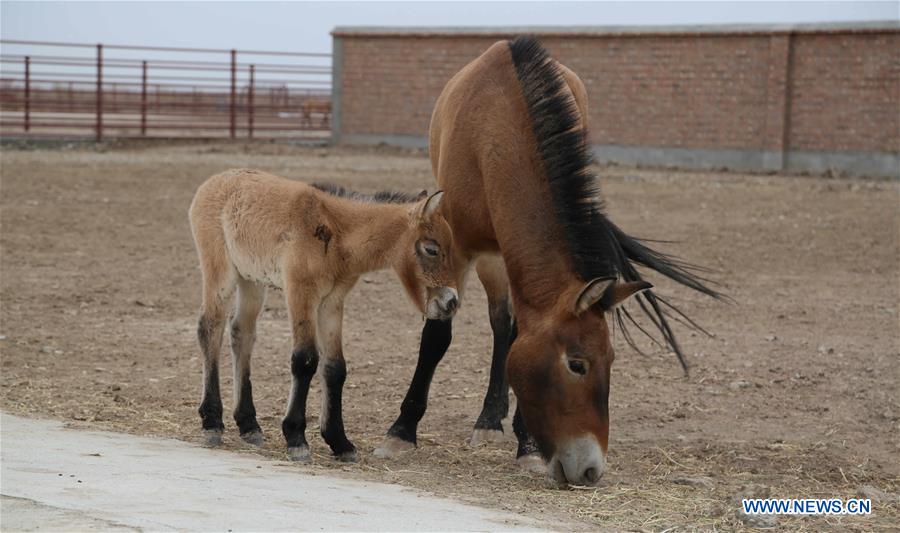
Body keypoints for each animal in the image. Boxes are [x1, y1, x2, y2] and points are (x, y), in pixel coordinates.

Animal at [189, 168, 458, 460]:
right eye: (432, 249)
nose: (451, 302)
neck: (337, 233)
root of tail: (214, 181)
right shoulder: (301, 293)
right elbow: (305, 359)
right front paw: (296, 438)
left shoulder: (332, 302)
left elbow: (335, 367)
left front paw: (340, 442)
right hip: (220, 271)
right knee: (210, 328)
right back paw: (212, 423)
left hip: (251, 279)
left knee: (241, 333)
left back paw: (249, 425)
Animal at [370, 37, 716, 486]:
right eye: (577, 364)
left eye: (612, 360)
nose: (591, 469)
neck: (497, 130)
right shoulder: (455, 249)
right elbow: (437, 336)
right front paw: (400, 432)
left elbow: (518, 334)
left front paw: (528, 446)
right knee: (499, 322)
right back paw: (488, 420)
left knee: (506, 327)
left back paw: (492, 419)